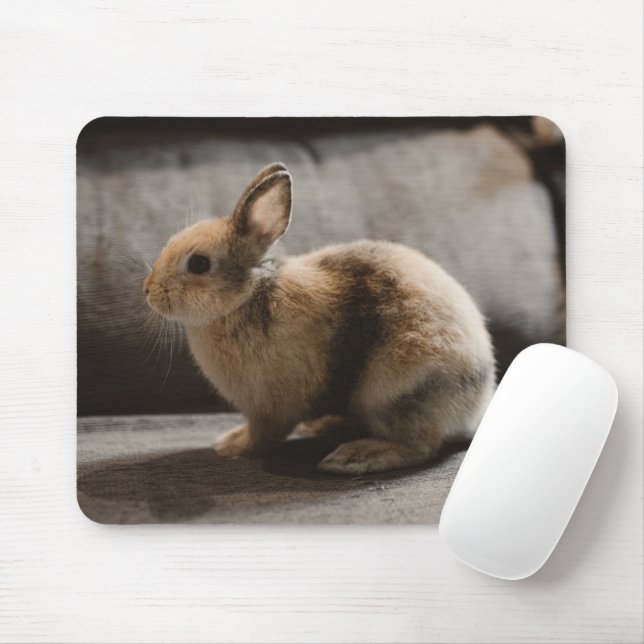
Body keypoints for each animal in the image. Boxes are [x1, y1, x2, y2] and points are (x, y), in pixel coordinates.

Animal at [144, 163, 496, 474]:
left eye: (199, 264)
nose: (148, 291)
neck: (250, 295)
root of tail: (478, 403)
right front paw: (230, 442)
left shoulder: (270, 408)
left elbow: (263, 434)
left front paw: (233, 447)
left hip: (394, 391)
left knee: (421, 446)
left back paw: (353, 457)